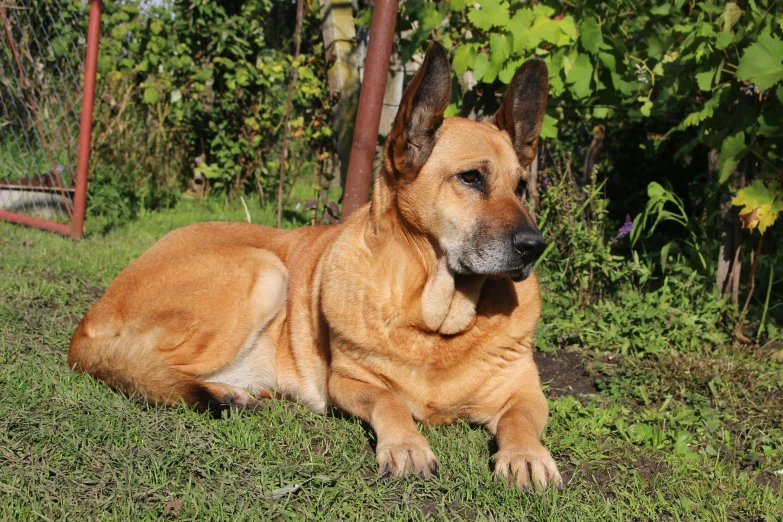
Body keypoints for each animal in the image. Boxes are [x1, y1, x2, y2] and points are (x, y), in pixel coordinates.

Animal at [70, 40, 564, 488]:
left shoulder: (525, 391)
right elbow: (390, 401)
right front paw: (406, 444)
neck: (436, 322)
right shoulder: (349, 382)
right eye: (471, 178)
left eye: (521, 187)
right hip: (266, 269)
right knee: (143, 367)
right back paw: (221, 392)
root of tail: (87, 323)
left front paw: (525, 455)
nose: (535, 246)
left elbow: (519, 420)